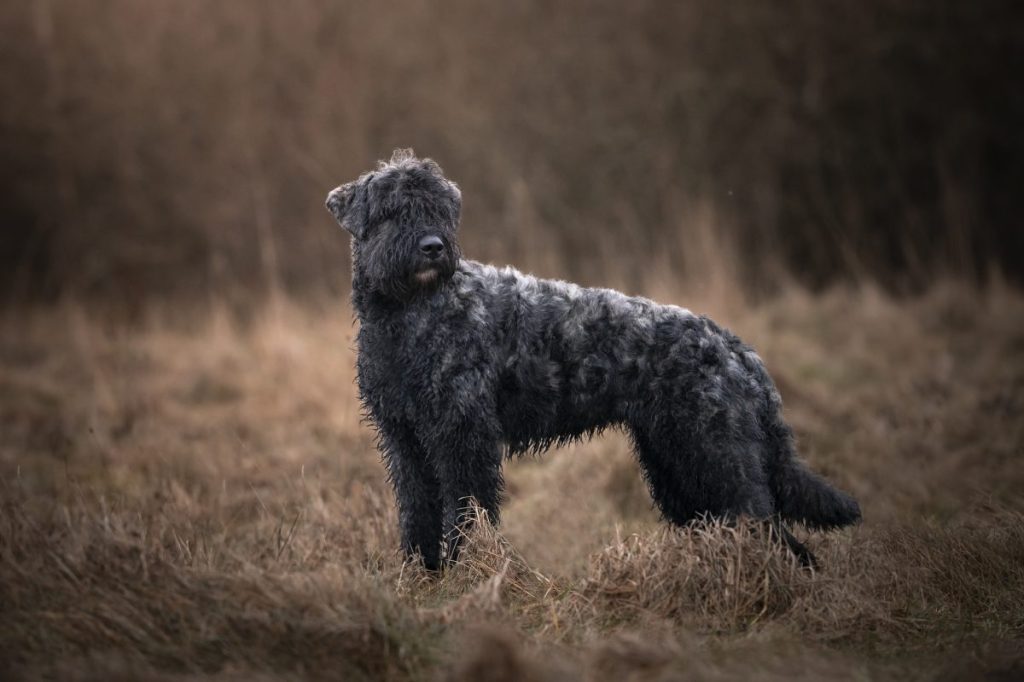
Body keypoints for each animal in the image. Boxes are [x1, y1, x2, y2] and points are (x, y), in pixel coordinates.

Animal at [323, 148, 860, 569]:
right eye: (391, 211)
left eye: (439, 209)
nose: (433, 246)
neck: (408, 316)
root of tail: (735, 347)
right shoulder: (405, 439)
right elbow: (418, 512)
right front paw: (423, 575)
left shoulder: (462, 437)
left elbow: (465, 511)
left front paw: (466, 574)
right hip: (676, 461)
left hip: (716, 455)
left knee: (771, 529)